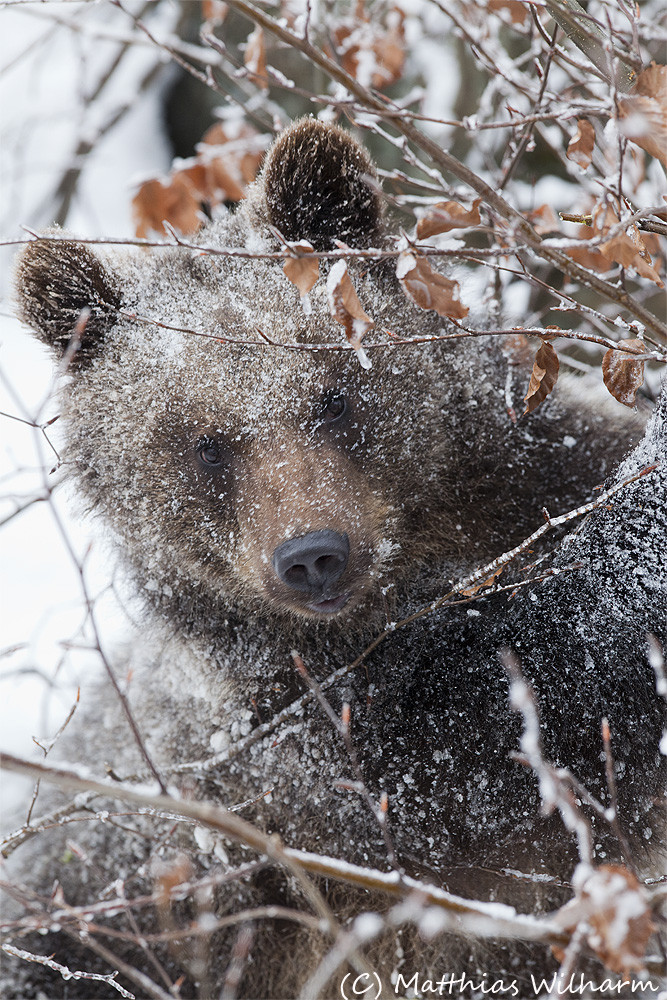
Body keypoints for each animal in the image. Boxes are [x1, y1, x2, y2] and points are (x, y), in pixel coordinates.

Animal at [2, 119, 664, 1000]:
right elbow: (529, 710)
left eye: (332, 394)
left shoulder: (542, 473)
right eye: (203, 442)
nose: (312, 556)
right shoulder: (304, 738)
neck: (424, 556)